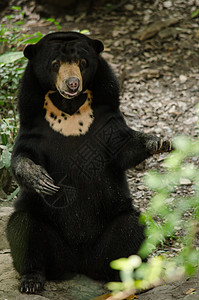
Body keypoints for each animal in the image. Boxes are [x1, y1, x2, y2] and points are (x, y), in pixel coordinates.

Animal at [6, 31, 171, 294]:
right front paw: (42, 180)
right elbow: (23, 155)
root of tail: (80, 264)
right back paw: (32, 281)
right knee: (23, 227)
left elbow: (123, 147)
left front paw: (159, 141)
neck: (70, 108)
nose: (72, 84)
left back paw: (133, 278)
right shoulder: (32, 120)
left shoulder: (106, 115)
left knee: (131, 227)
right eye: (55, 64)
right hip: (51, 245)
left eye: (82, 62)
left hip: (109, 238)